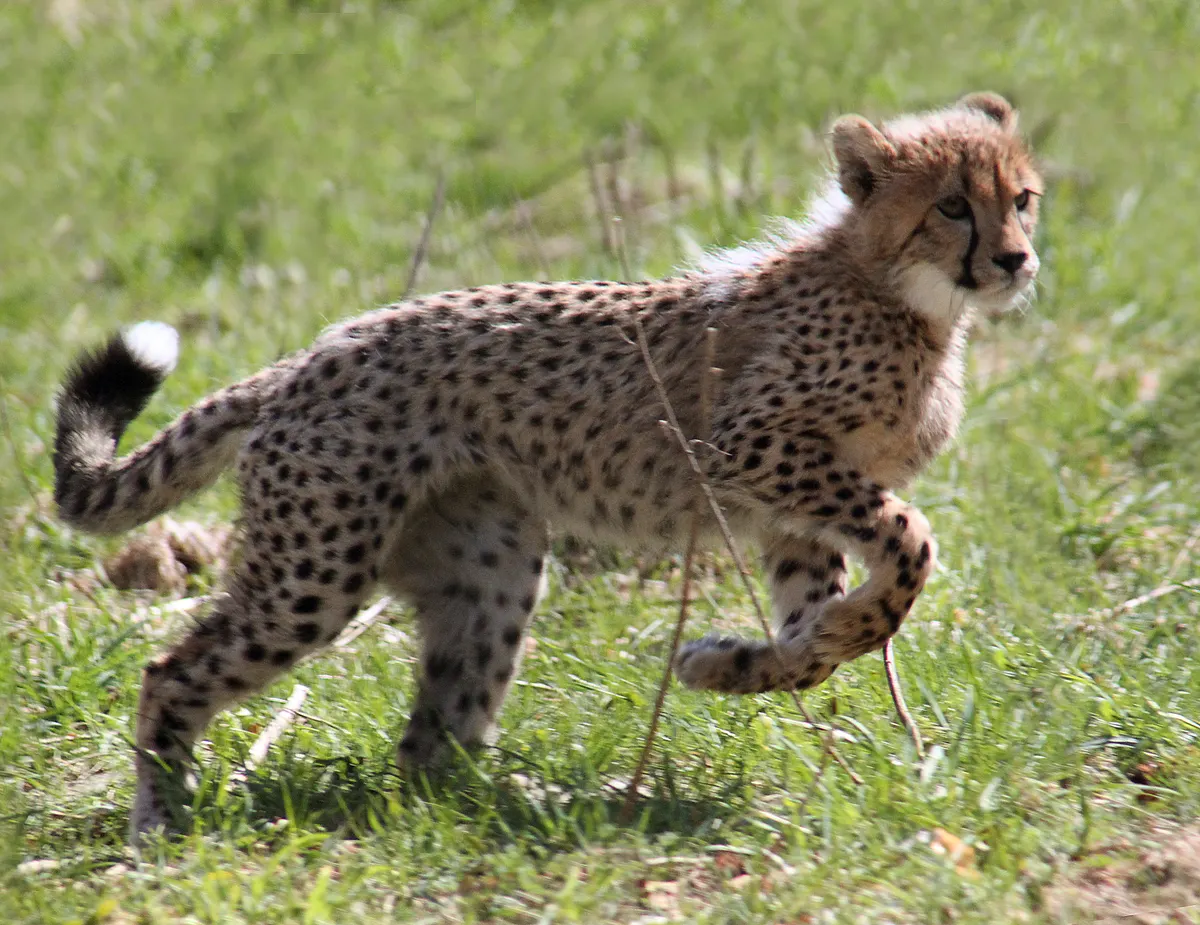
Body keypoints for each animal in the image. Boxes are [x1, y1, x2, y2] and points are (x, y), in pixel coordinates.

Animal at [50, 92, 1042, 841]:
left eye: (1023, 197)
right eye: (953, 206)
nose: (1015, 260)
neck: (900, 295)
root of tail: (306, 358)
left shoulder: (789, 511)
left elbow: (816, 639)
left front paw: (736, 662)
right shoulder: (751, 449)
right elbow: (912, 544)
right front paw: (811, 637)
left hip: (489, 571)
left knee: (431, 740)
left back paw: (512, 804)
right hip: (316, 567)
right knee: (173, 670)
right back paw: (158, 820)